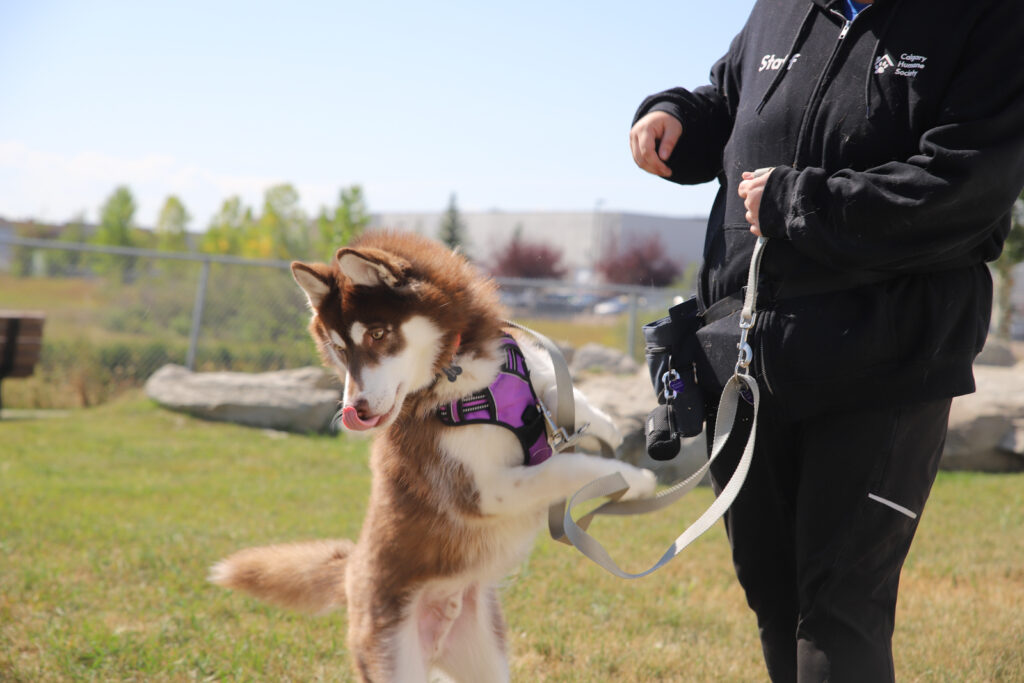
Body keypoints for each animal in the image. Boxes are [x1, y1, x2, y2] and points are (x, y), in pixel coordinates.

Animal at [210, 232, 651, 679]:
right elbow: (564, 466)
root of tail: (351, 571)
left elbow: (556, 385)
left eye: (377, 334)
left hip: (485, 658)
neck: (457, 374)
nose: (356, 411)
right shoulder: (480, 490)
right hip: (395, 658)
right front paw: (630, 477)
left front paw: (607, 425)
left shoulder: (523, 371)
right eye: (338, 349)